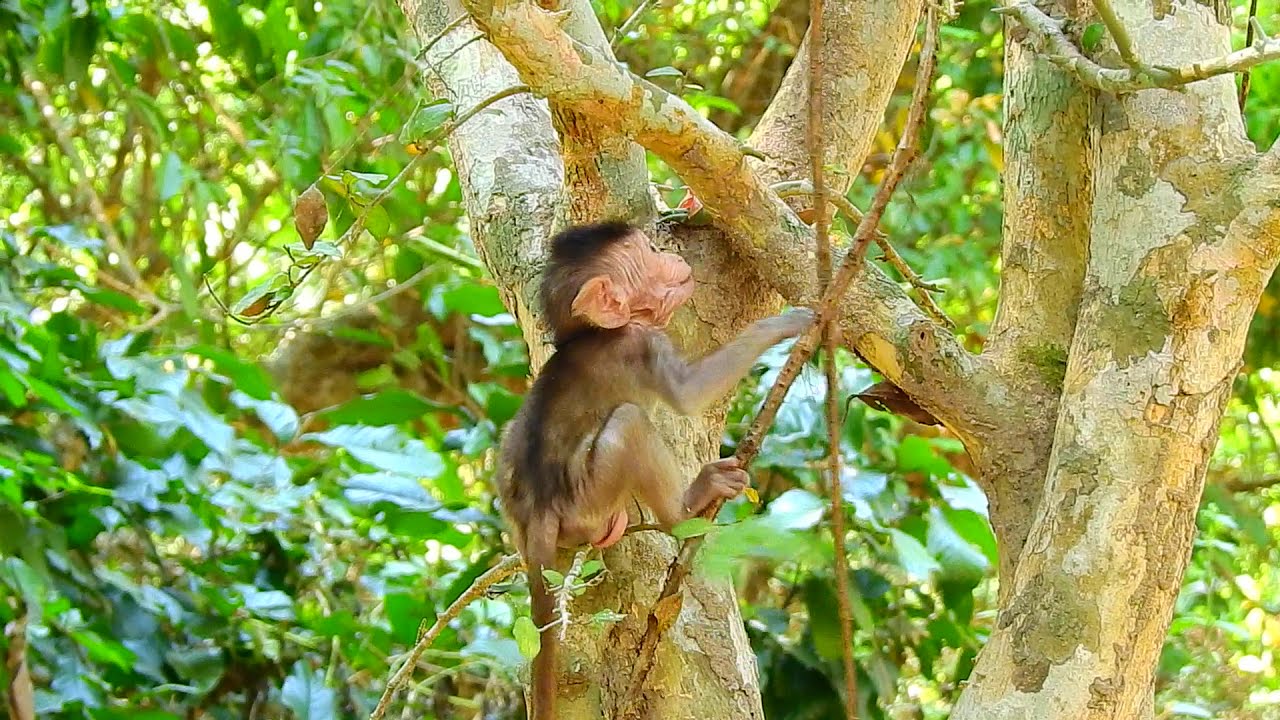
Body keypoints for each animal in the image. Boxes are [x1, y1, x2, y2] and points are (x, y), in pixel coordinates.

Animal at [493, 220, 815, 720]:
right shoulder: (642, 344)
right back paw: (688, 509)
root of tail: (539, 512)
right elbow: (688, 393)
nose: (671, 256)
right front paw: (788, 324)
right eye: (647, 254)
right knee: (630, 424)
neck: (594, 333)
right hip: (588, 499)